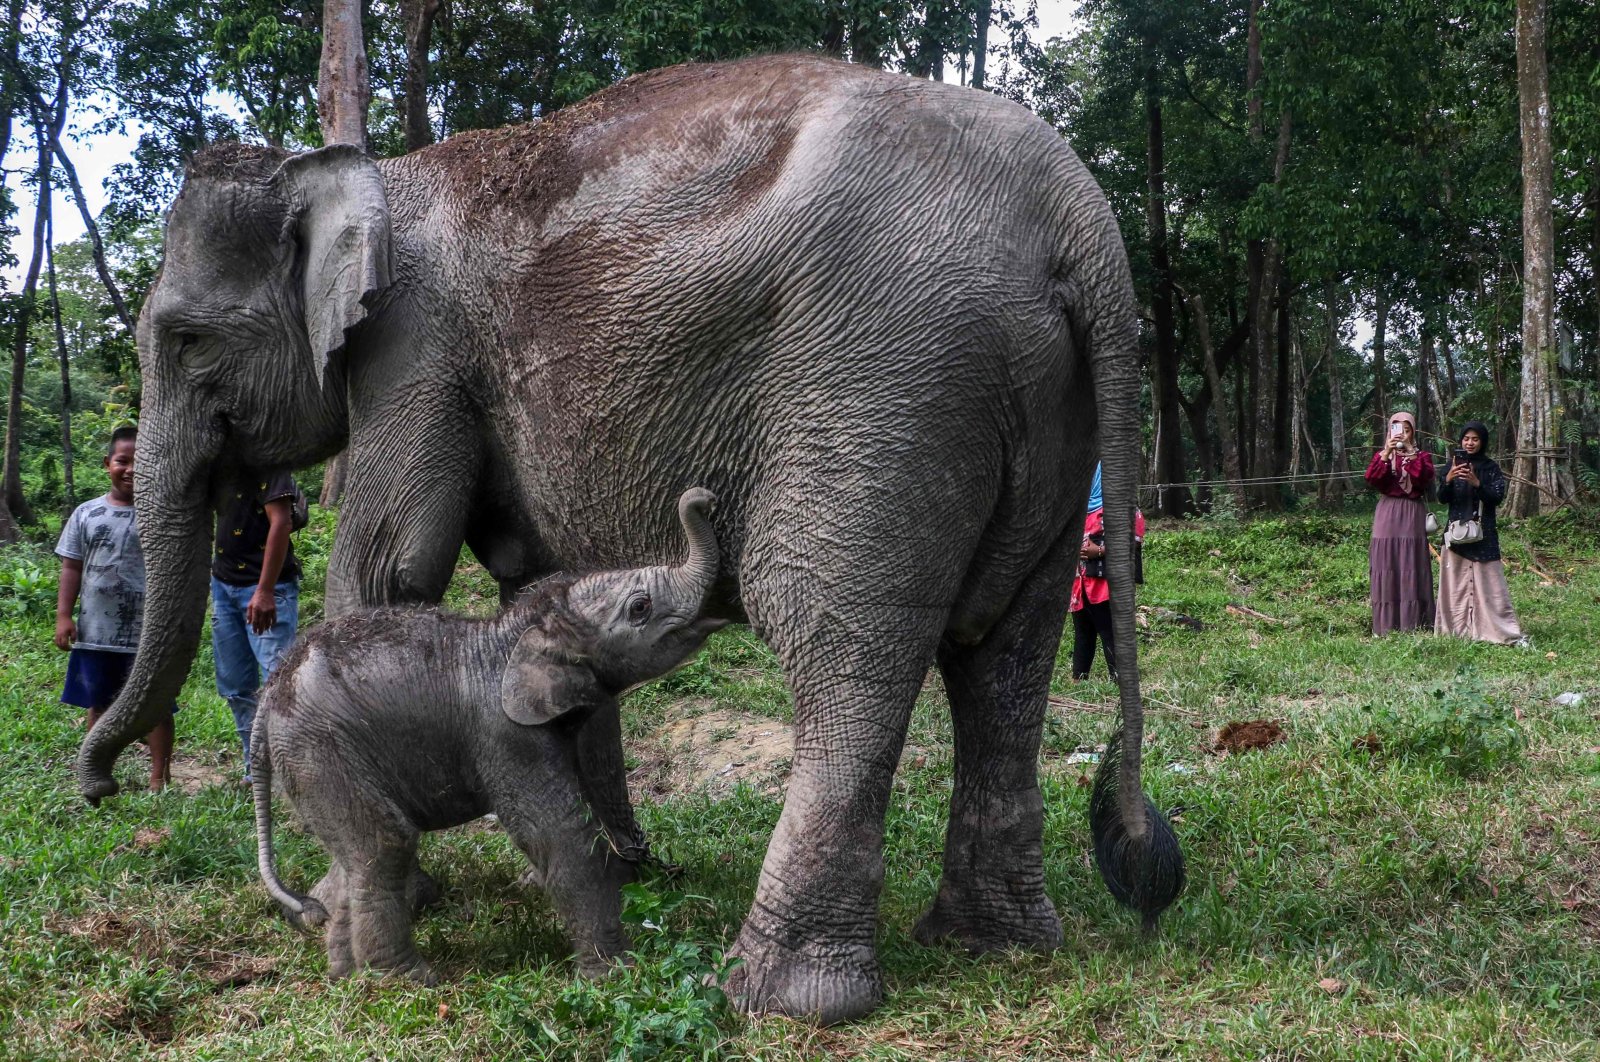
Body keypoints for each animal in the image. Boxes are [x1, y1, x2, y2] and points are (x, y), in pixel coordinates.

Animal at [251, 486, 726, 985]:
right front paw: (616, 975)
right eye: (639, 608)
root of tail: (267, 700)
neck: (517, 627)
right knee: (383, 845)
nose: (703, 497)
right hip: (321, 751)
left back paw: (346, 975)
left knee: (352, 857)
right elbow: (562, 833)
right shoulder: (505, 734)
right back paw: (406, 981)